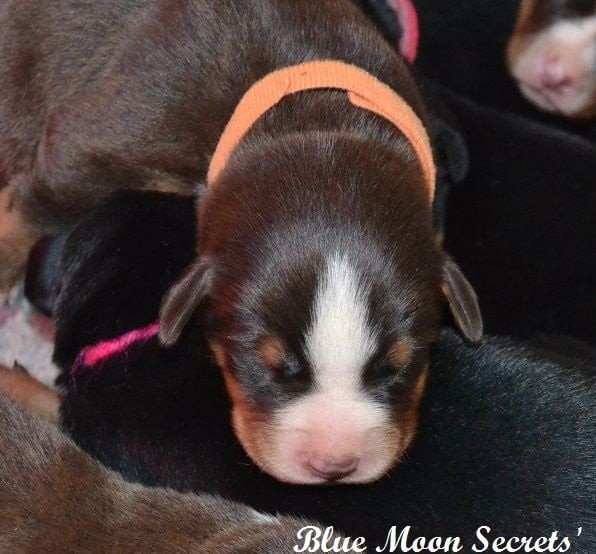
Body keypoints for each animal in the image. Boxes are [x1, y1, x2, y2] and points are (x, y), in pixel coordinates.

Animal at [0, 0, 482, 484]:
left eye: (398, 368)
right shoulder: (91, 152)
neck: (315, 118)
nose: (334, 465)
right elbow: (23, 220)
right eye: (265, 368)